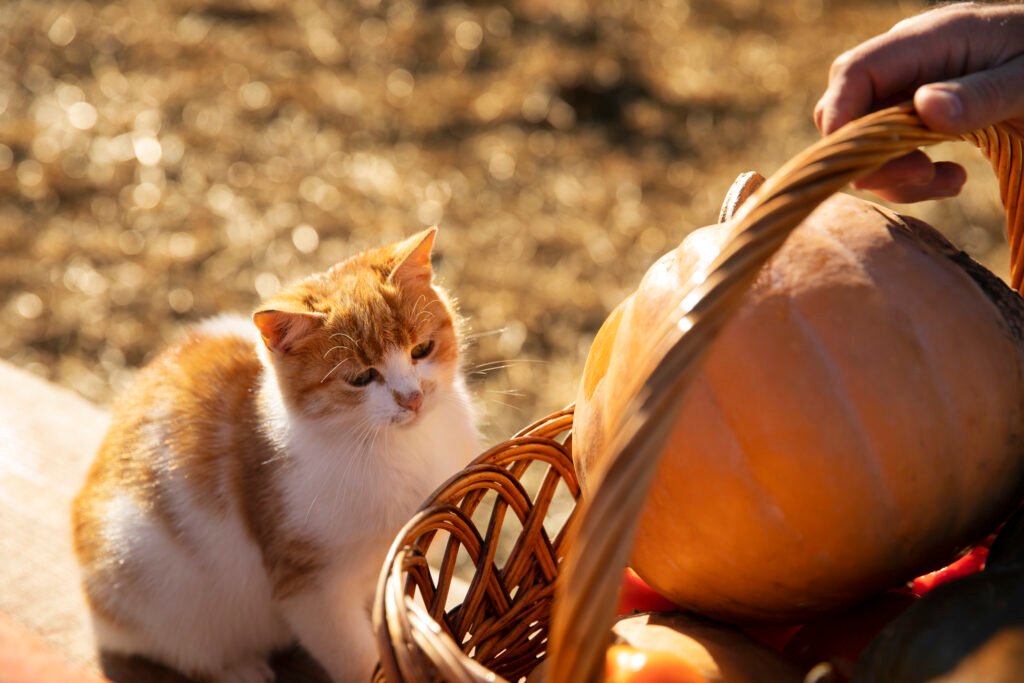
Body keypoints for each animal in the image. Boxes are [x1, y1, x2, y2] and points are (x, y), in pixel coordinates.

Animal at [72, 231, 479, 683]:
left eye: (421, 348)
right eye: (361, 378)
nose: (413, 398)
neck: (397, 446)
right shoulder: (310, 587)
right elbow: (354, 654)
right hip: (152, 584)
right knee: (181, 651)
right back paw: (239, 669)